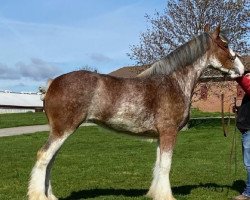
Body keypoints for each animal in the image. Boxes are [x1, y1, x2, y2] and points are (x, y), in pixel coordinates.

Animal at [27, 25, 244, 200]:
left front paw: (155, 193)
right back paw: (39, 196)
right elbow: (166, 166)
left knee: (50, 161)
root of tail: (52, 83)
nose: (242, 69)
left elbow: (158, 165)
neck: (174, 82)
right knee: (44, 156)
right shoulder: (169, 132)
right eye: (225, 45)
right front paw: (166, 196)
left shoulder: (160, 136)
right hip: (63, 130)